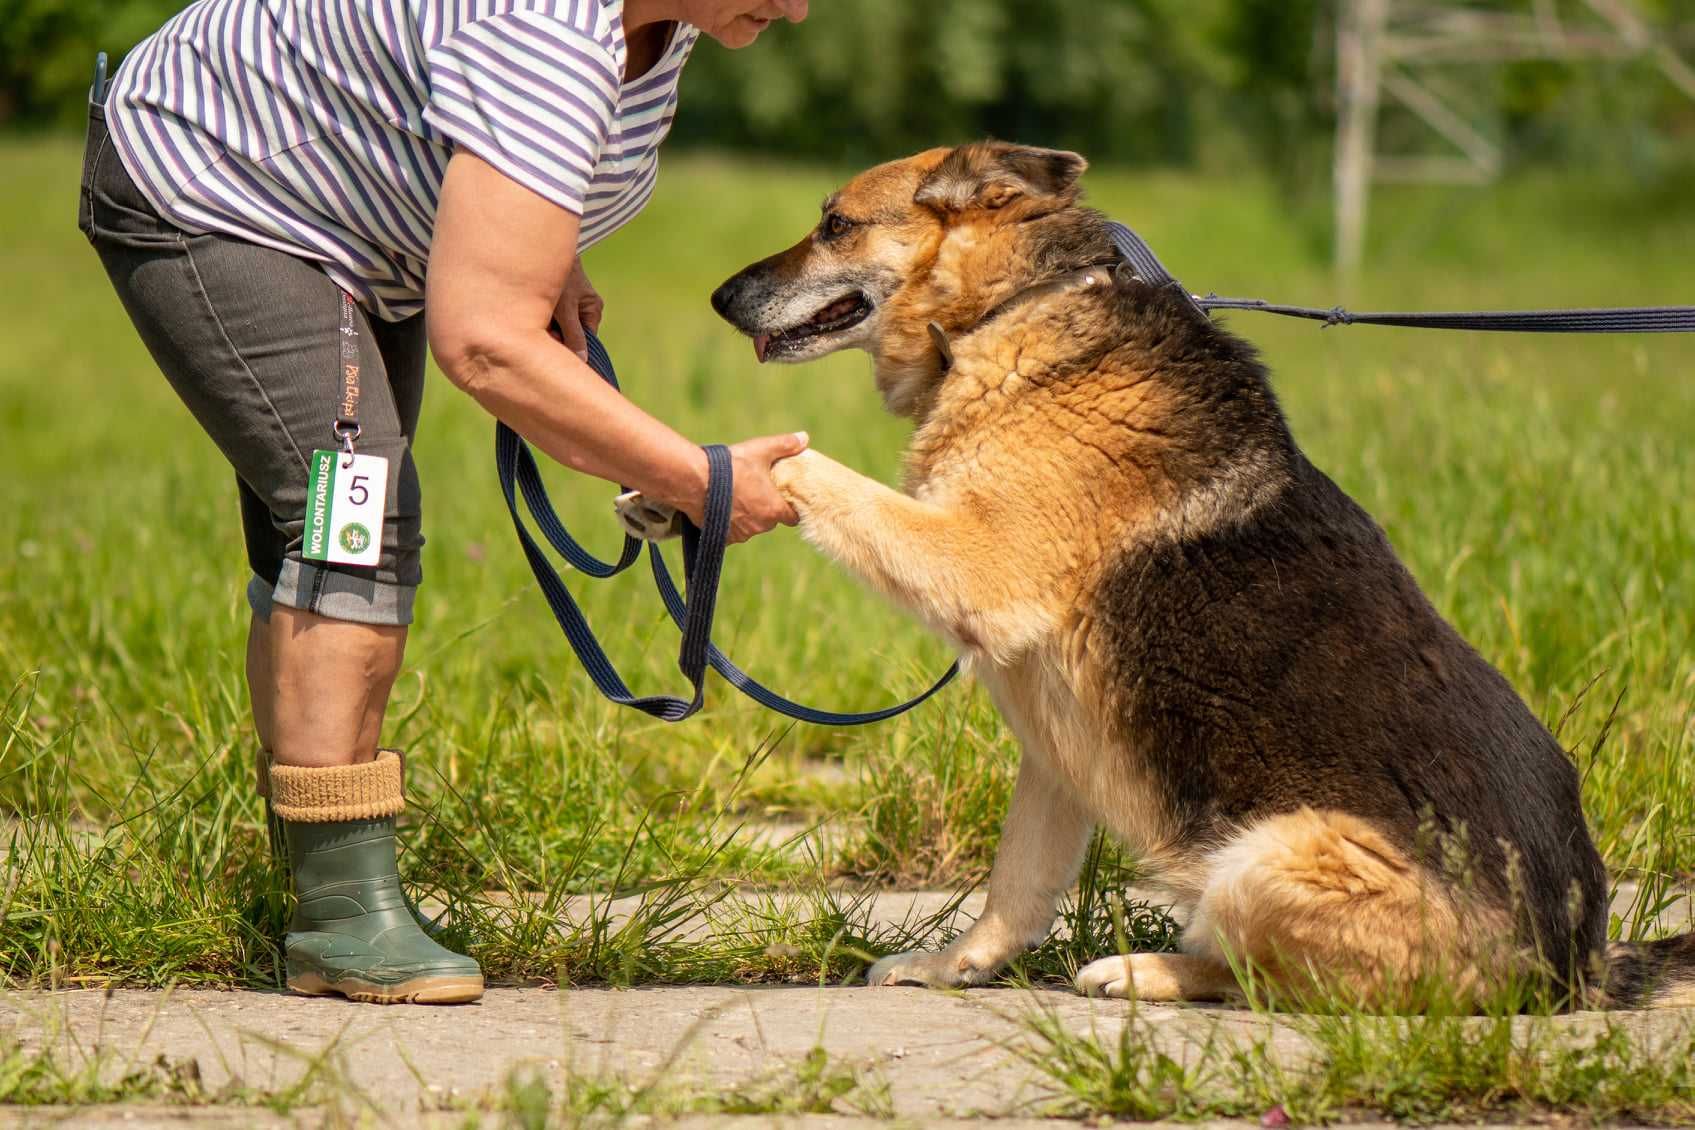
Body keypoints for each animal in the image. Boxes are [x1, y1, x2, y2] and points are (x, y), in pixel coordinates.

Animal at [694, 138, 1688, 1009]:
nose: (718, 296)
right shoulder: (1053, 746)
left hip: (1264, 857)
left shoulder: (974, 565)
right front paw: (952, 970)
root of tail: (1575, 966)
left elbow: (811, 468)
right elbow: (1015, 887)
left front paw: (709, 463)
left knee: (1276, 982)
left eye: (835, 224)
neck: (1014, 309)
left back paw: (1147, 972)